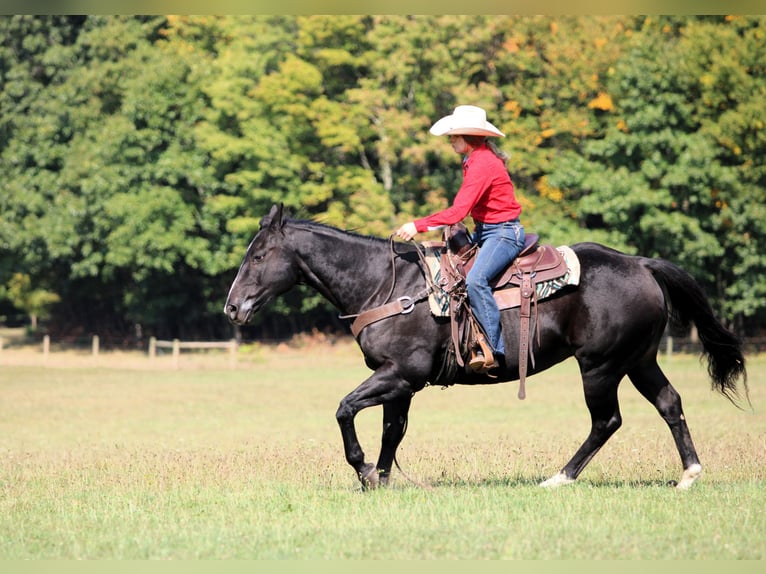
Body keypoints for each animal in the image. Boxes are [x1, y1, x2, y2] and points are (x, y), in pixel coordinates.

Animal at [224, 203, 747, 490]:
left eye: (259, 255)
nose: (232, 307)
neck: (386, 285)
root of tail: (640, 263)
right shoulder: (399, 383)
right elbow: (393, 432)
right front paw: (383, 481)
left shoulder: (400, 374)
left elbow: (345, 410)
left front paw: (365, 471)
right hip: (638, 360)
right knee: (669, 403)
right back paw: (689, 475)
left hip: (600, 366)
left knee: (607, 421)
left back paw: (559, 478)